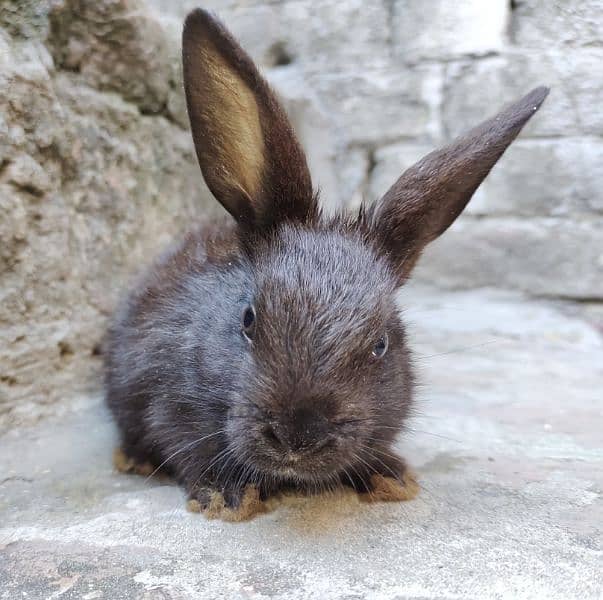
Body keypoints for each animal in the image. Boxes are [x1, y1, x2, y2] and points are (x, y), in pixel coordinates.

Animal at [104, 5, 548, 520]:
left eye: (380, 345)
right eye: (248, 319)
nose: (298, 436)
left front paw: (391, 476)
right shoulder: (165, 401)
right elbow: (186, 444)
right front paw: (226, 495)